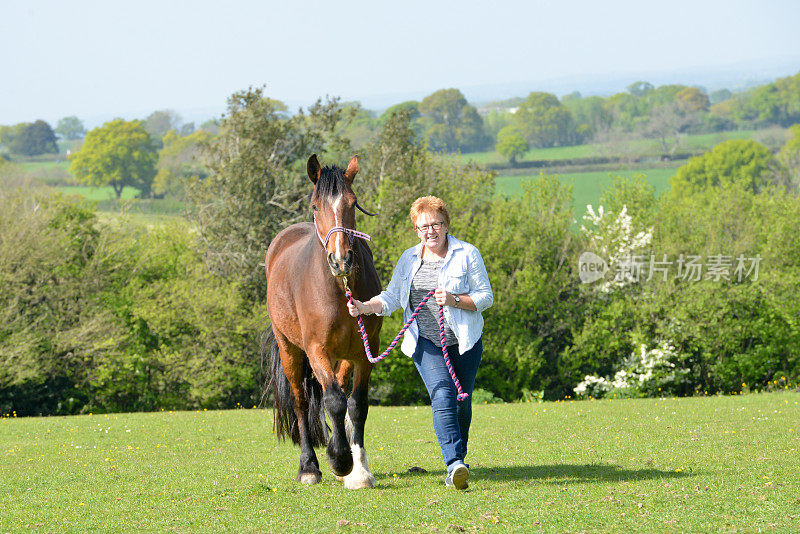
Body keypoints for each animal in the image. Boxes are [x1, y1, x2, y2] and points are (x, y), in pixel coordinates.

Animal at [264, 154, 382, 490]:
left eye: (352, 203)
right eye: (316, 206)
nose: (341, 259)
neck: (338, 290)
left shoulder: (364, 353)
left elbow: (356, 405)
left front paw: (358, 469)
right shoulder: (317, 350)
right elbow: (333, 401)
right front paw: (340, 460)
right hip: (290, 350)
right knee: (302, 403)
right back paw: (309, 467)